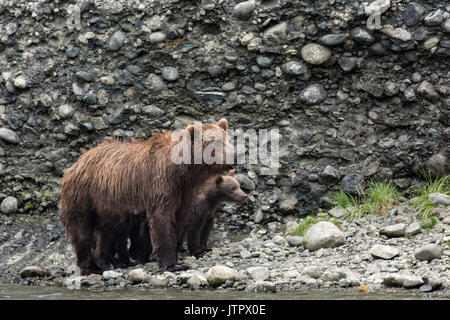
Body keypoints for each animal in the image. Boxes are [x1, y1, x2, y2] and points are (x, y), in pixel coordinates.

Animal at [60, 119, 234, 274]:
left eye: (228, 139)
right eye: (217, 143)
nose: (235, 154)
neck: (181, 173)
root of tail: (76, 163)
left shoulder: (185, 193)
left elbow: (179, 220)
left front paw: (178, 258)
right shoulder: (159, 184)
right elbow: (161, 220)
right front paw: (172, 264)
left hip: (108, 205)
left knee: (107, 232)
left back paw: (108, 262)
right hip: (83, 195)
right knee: (82, 231)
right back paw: (91, 267)